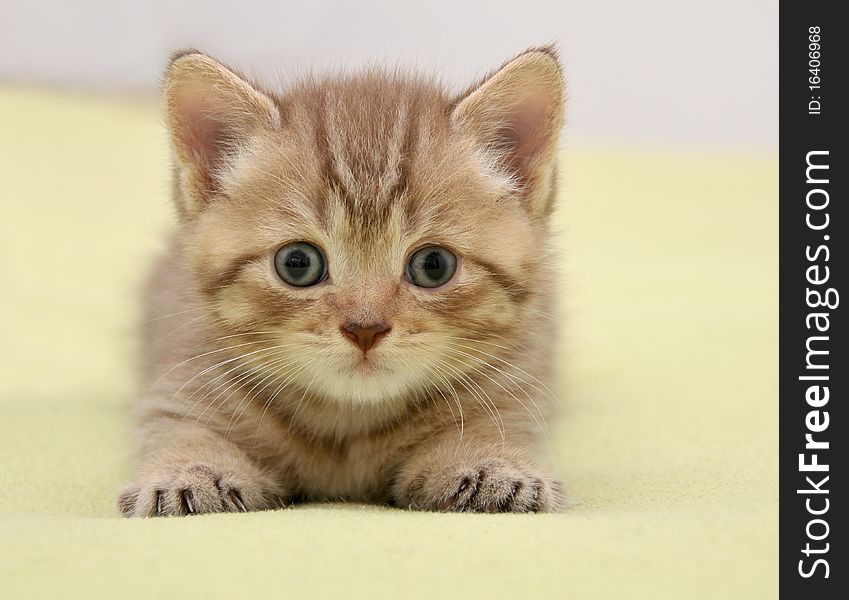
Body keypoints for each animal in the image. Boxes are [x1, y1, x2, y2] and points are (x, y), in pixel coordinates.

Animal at [117, 47, 564, 516]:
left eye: (434, 265)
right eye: (297, 263)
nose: (365, 328)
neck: (348, 422)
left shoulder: (516, 380)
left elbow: (489, 423)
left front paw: (489, 464)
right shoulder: (181, 370)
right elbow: (179, 426)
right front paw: (189, 470)